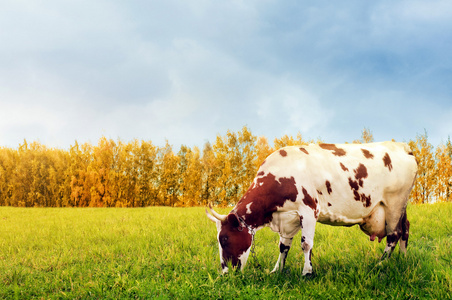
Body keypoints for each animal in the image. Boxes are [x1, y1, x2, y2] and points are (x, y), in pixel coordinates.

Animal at [207, 142, 418, 276]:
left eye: (224, 239)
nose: (225, 272)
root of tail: (401, 146)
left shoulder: (308, 210)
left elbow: (306, 244)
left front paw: (307, 272)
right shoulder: (288, 216)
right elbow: (283, 246)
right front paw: (277, 270)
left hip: (394, 204)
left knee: (394, 235)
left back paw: (381, 263)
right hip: (401, 207)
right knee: (405, 229)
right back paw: (403, 258)